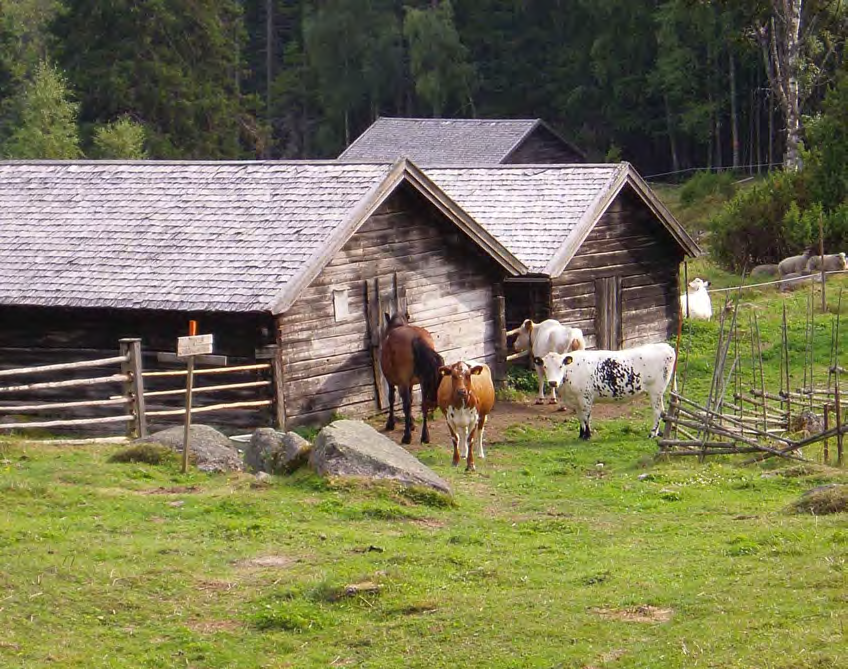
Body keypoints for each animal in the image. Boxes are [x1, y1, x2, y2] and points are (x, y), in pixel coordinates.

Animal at [380, 312, 444, 444]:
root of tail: (416, 339)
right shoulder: (410, 384)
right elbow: (412, 399)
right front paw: (411, 424)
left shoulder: (392, 381)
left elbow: (392, 399)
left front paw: (391, 423)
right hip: (424, 382)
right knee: (424, 404)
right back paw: (425, 436)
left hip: (403, 382)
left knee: (406, 405)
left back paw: (407, 436)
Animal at [536, 344, 676, 438]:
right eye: (545, 366)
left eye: (561, 366)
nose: (553, 382)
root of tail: (666, 346)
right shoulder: (576, 401)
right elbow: (580, 417)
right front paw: (581, 435)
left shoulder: (585, 397)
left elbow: (586, 416)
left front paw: (587, 435)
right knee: (662, 411)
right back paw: (657, 433)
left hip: (655, 391)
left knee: (657, 412)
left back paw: (652, 433)